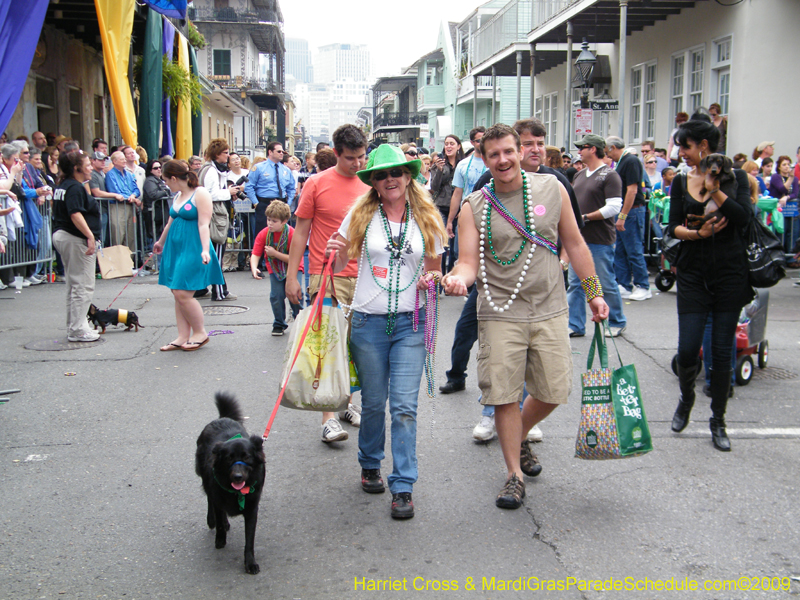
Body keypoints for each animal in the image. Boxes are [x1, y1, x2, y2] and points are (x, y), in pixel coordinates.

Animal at [195, 392, 268, 576]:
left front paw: (250, 563)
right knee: (210, 499)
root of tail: (222, 418)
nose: (237, 476)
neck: (236, 493)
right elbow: (220, 520)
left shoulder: (252, 509)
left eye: (247, 457)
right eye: (229, 458)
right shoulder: (218, 496)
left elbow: (249, 540)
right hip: (204, 477)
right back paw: (212, 520)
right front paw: (220, 539)